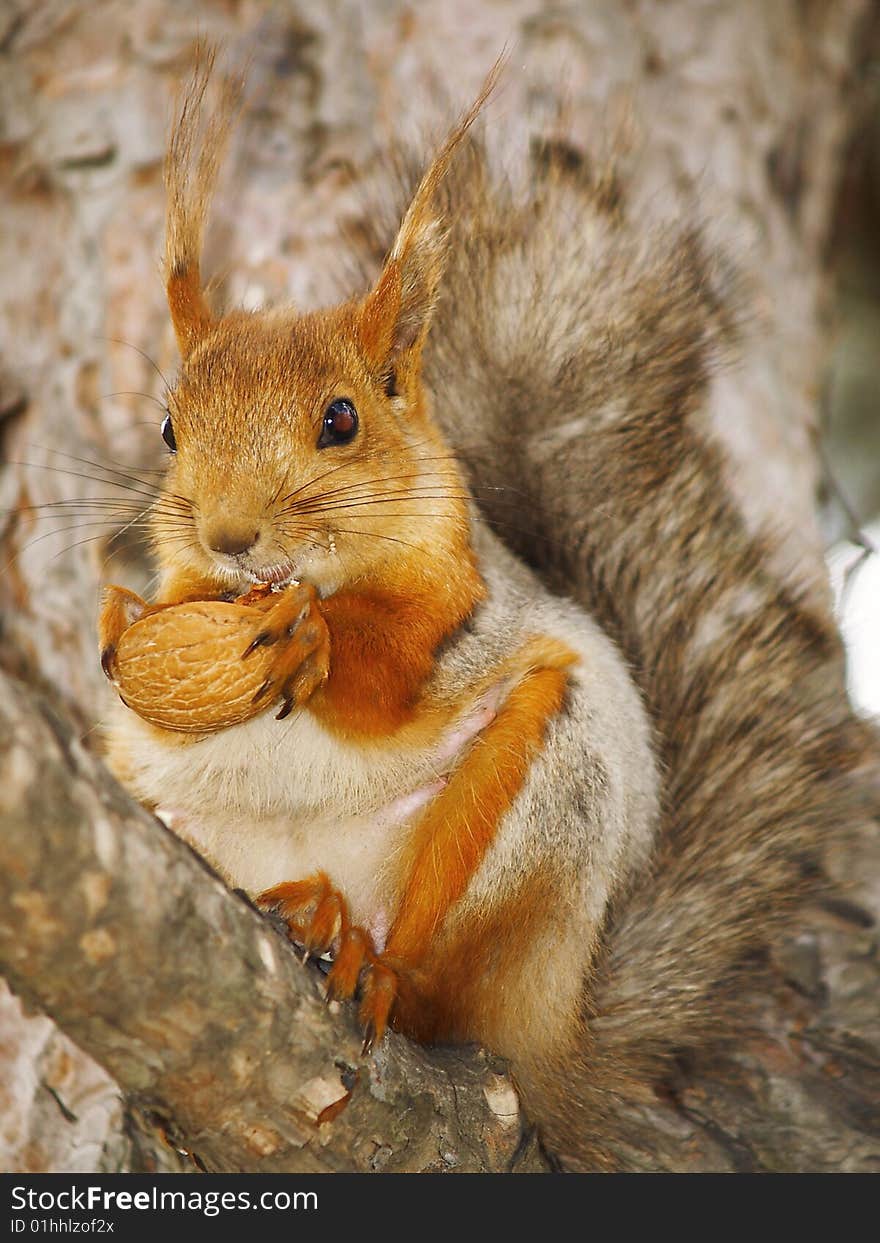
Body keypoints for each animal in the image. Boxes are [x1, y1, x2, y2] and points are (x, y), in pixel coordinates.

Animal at [98, 53, 875, 1168]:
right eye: (169, 429)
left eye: (342, 418)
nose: (230, 536)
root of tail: (556, 1034)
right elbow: (158, 655)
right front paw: (123, 623)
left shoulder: (456, 604)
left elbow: (388, 676)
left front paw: (315, 640)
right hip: (183, 825)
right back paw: (310, 913)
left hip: (545, 798)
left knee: (436, 984)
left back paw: (360, 950)